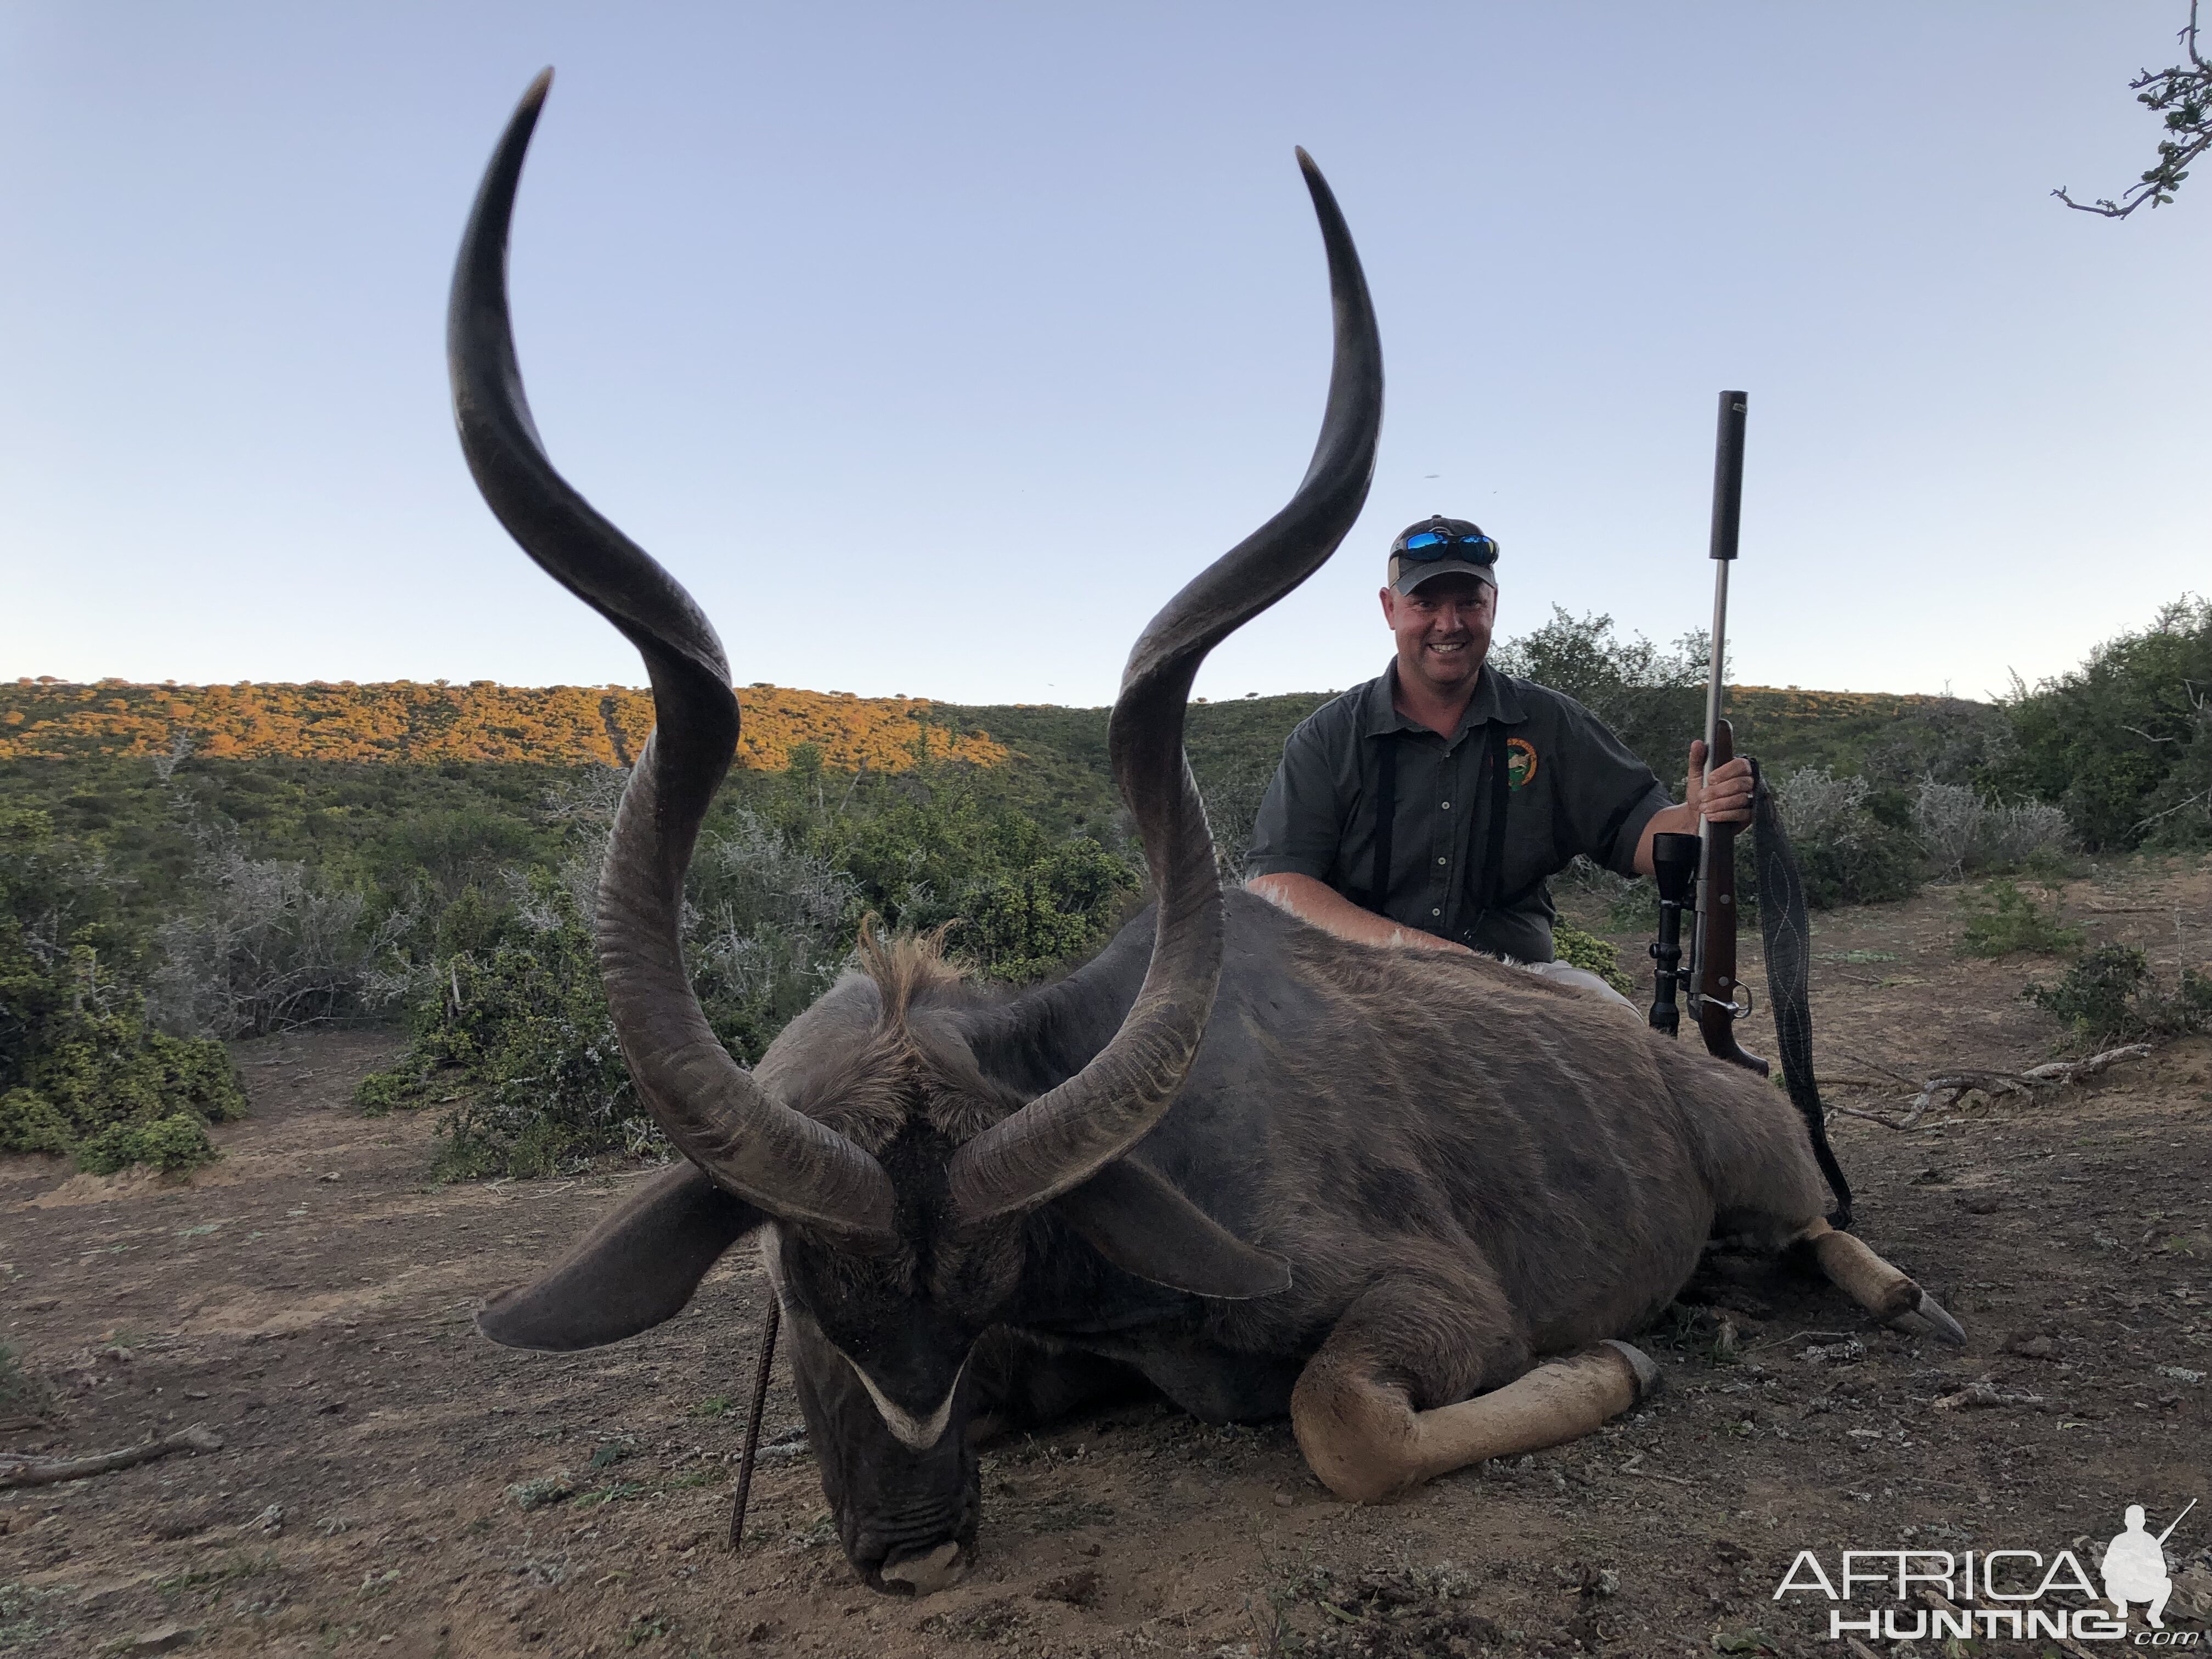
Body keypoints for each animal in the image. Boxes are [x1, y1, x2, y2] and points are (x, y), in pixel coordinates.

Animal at [444, 75, 1955, 1601]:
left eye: (975, 1286)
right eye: (802, 1296)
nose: (917, 1554)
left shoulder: (1436, 1304)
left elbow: (1342, 1422)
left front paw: (1622, 1360)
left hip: (1769, 1173)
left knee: (1828, 1224)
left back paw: (1897, 1298)